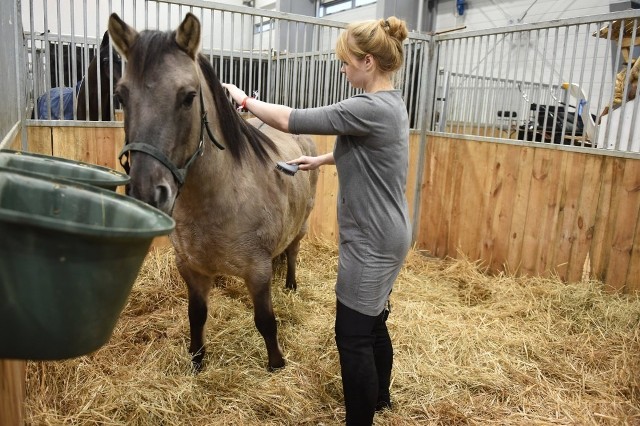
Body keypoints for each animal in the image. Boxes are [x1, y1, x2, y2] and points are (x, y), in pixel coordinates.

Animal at [109, 11, 320, 372]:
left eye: (188, 97)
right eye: (121, 96)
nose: (148, 193)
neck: (216, 200)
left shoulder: (258, 271)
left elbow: (266, 320)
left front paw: (276, 364)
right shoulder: (190, 268)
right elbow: (197, 315)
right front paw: (197, 360)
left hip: (302, 224)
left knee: (292, 251)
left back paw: (291, 284)